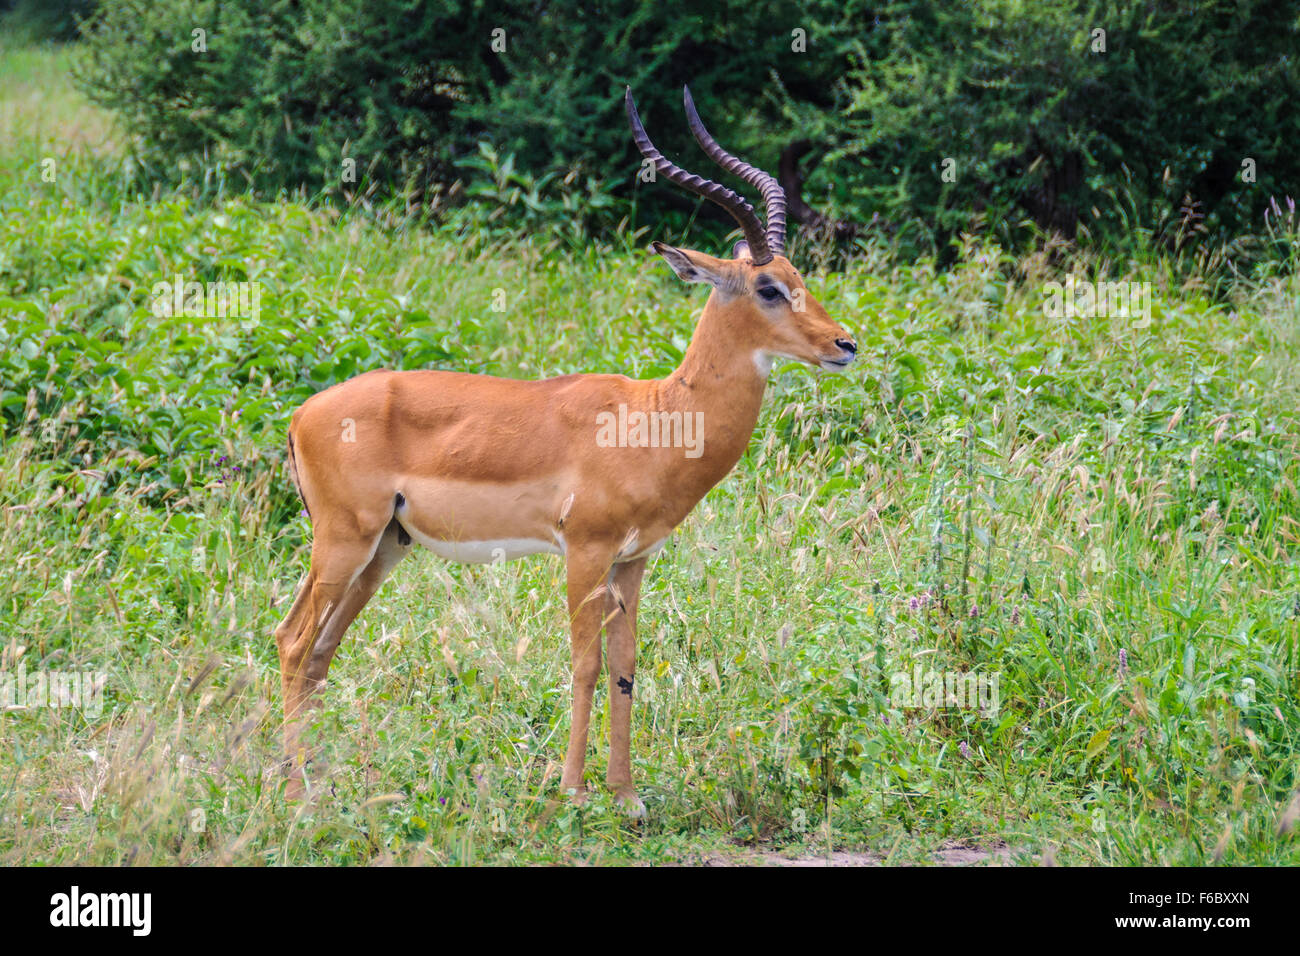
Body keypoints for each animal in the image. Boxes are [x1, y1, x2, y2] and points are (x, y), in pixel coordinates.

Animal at [274, 86, 858, 812]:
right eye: (768, 287)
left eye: (799, 273)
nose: (845, 344)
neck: (656, 415)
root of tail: (302, 413)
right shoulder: (584, 551)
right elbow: (584, 663)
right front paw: (574, 793)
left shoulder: (633, 560)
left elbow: (626, 665)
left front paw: (627, 797)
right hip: (343, 542)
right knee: (294, 642)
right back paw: (298, 792)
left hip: (384, 547)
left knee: (320, 651)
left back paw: (322, 784)